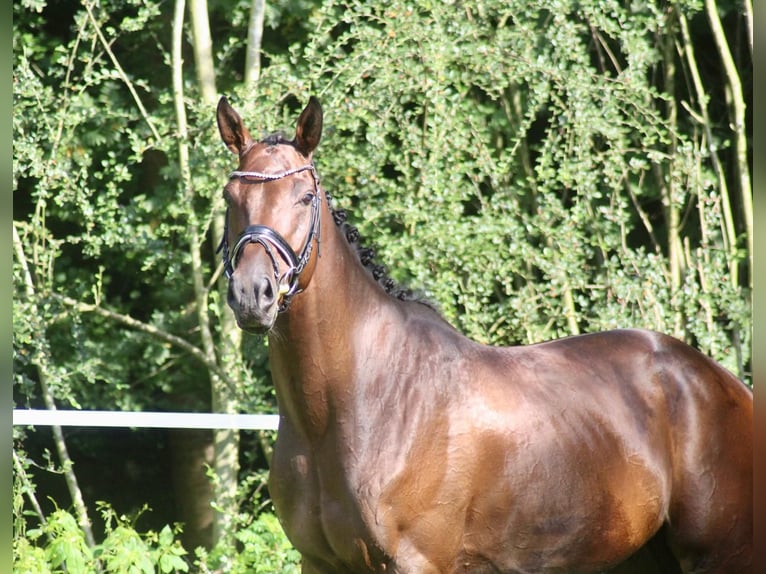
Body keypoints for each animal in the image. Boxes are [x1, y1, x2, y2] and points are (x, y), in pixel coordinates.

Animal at [215, 96, 752, 573]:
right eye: (230, 198)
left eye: (305, 197)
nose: (253, 294)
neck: (350, 407)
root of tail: (725, 385)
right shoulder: (320, 563)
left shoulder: (416, 562)